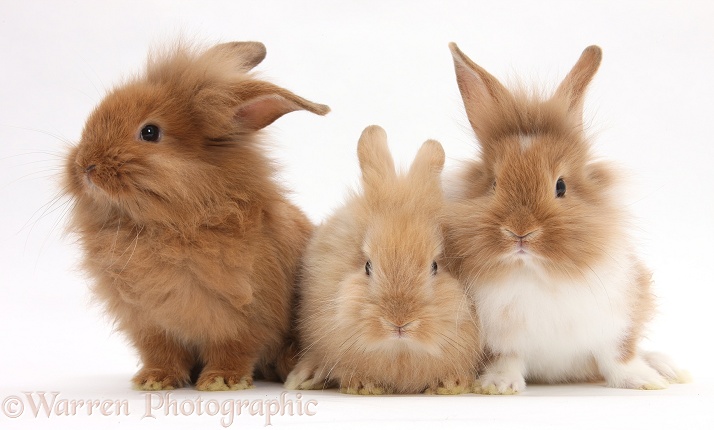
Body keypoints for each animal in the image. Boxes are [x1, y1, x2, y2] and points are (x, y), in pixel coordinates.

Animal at [62, 42, 328, 392]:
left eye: (150, 132)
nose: (85, 165)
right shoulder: (150, 323)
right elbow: (162, 353)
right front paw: (154, 380)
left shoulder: (242, 316)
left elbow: (233, 349)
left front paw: (221, 381)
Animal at [282, 124, 478, 394]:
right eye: (367, 266)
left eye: (435, 266)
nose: (399, 323)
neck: (400, 353)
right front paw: (364, 385)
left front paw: (450, 385)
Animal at [442, 42, 688, 394]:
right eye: (493, 184)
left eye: (561, 186)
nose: (520, 232)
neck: (538, 273)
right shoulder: (500, 340)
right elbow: (507, 359)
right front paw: (499, 386)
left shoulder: (616, 323)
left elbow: (619, 356)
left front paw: (644, 382)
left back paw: (668, 369)